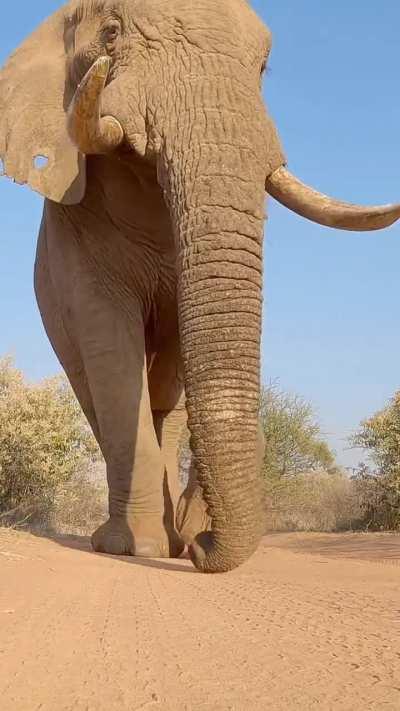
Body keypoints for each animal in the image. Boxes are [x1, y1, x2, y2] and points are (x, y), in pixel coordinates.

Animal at [0, 0, 399, 574]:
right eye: (112, 34)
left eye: (263, 68)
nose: (202, 546)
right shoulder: (74, 236)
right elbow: (113, 357)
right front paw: (136, 549)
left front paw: (180, 538)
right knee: (98, 392)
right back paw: (145, 540)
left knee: (165, 402)